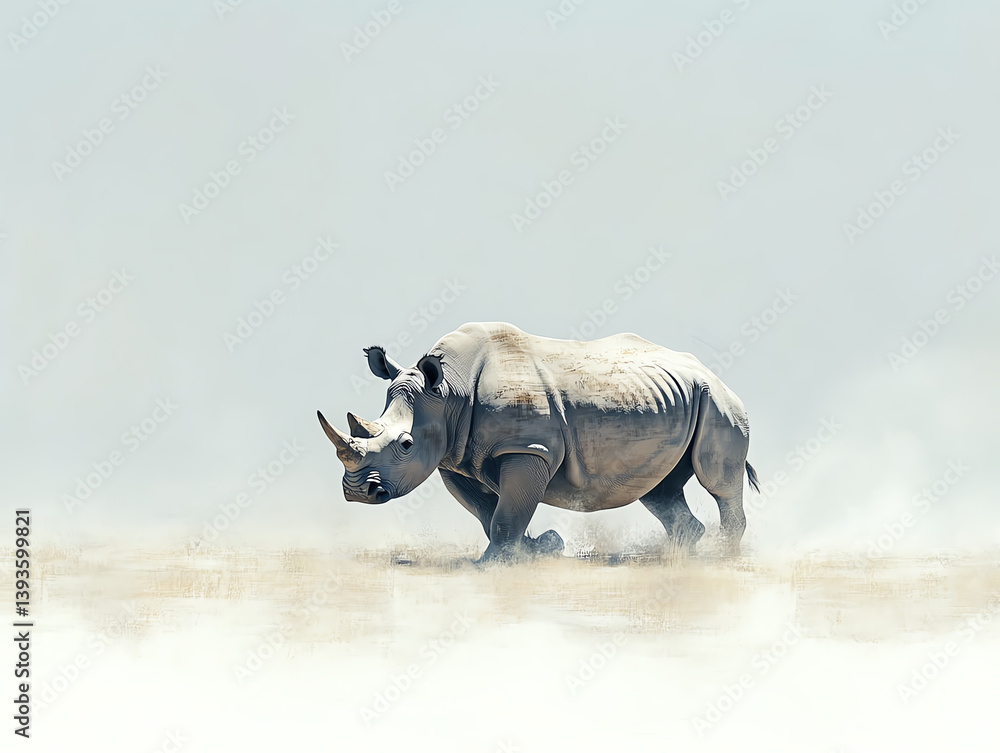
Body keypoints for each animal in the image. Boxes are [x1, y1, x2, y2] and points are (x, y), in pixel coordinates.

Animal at [318, 322, 759, 561]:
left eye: (406, 445)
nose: (357, 491)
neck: (448, 394)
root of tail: (713, 373)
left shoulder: (528, 450)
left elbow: (505, 515)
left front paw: (490, 566)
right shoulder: (453, 459)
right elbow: (487, 514)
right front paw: (541, 548)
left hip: (717, 402)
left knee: (717, 481)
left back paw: (720, 557)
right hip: (675, 400)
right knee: (658, 490)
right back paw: (681, 558)